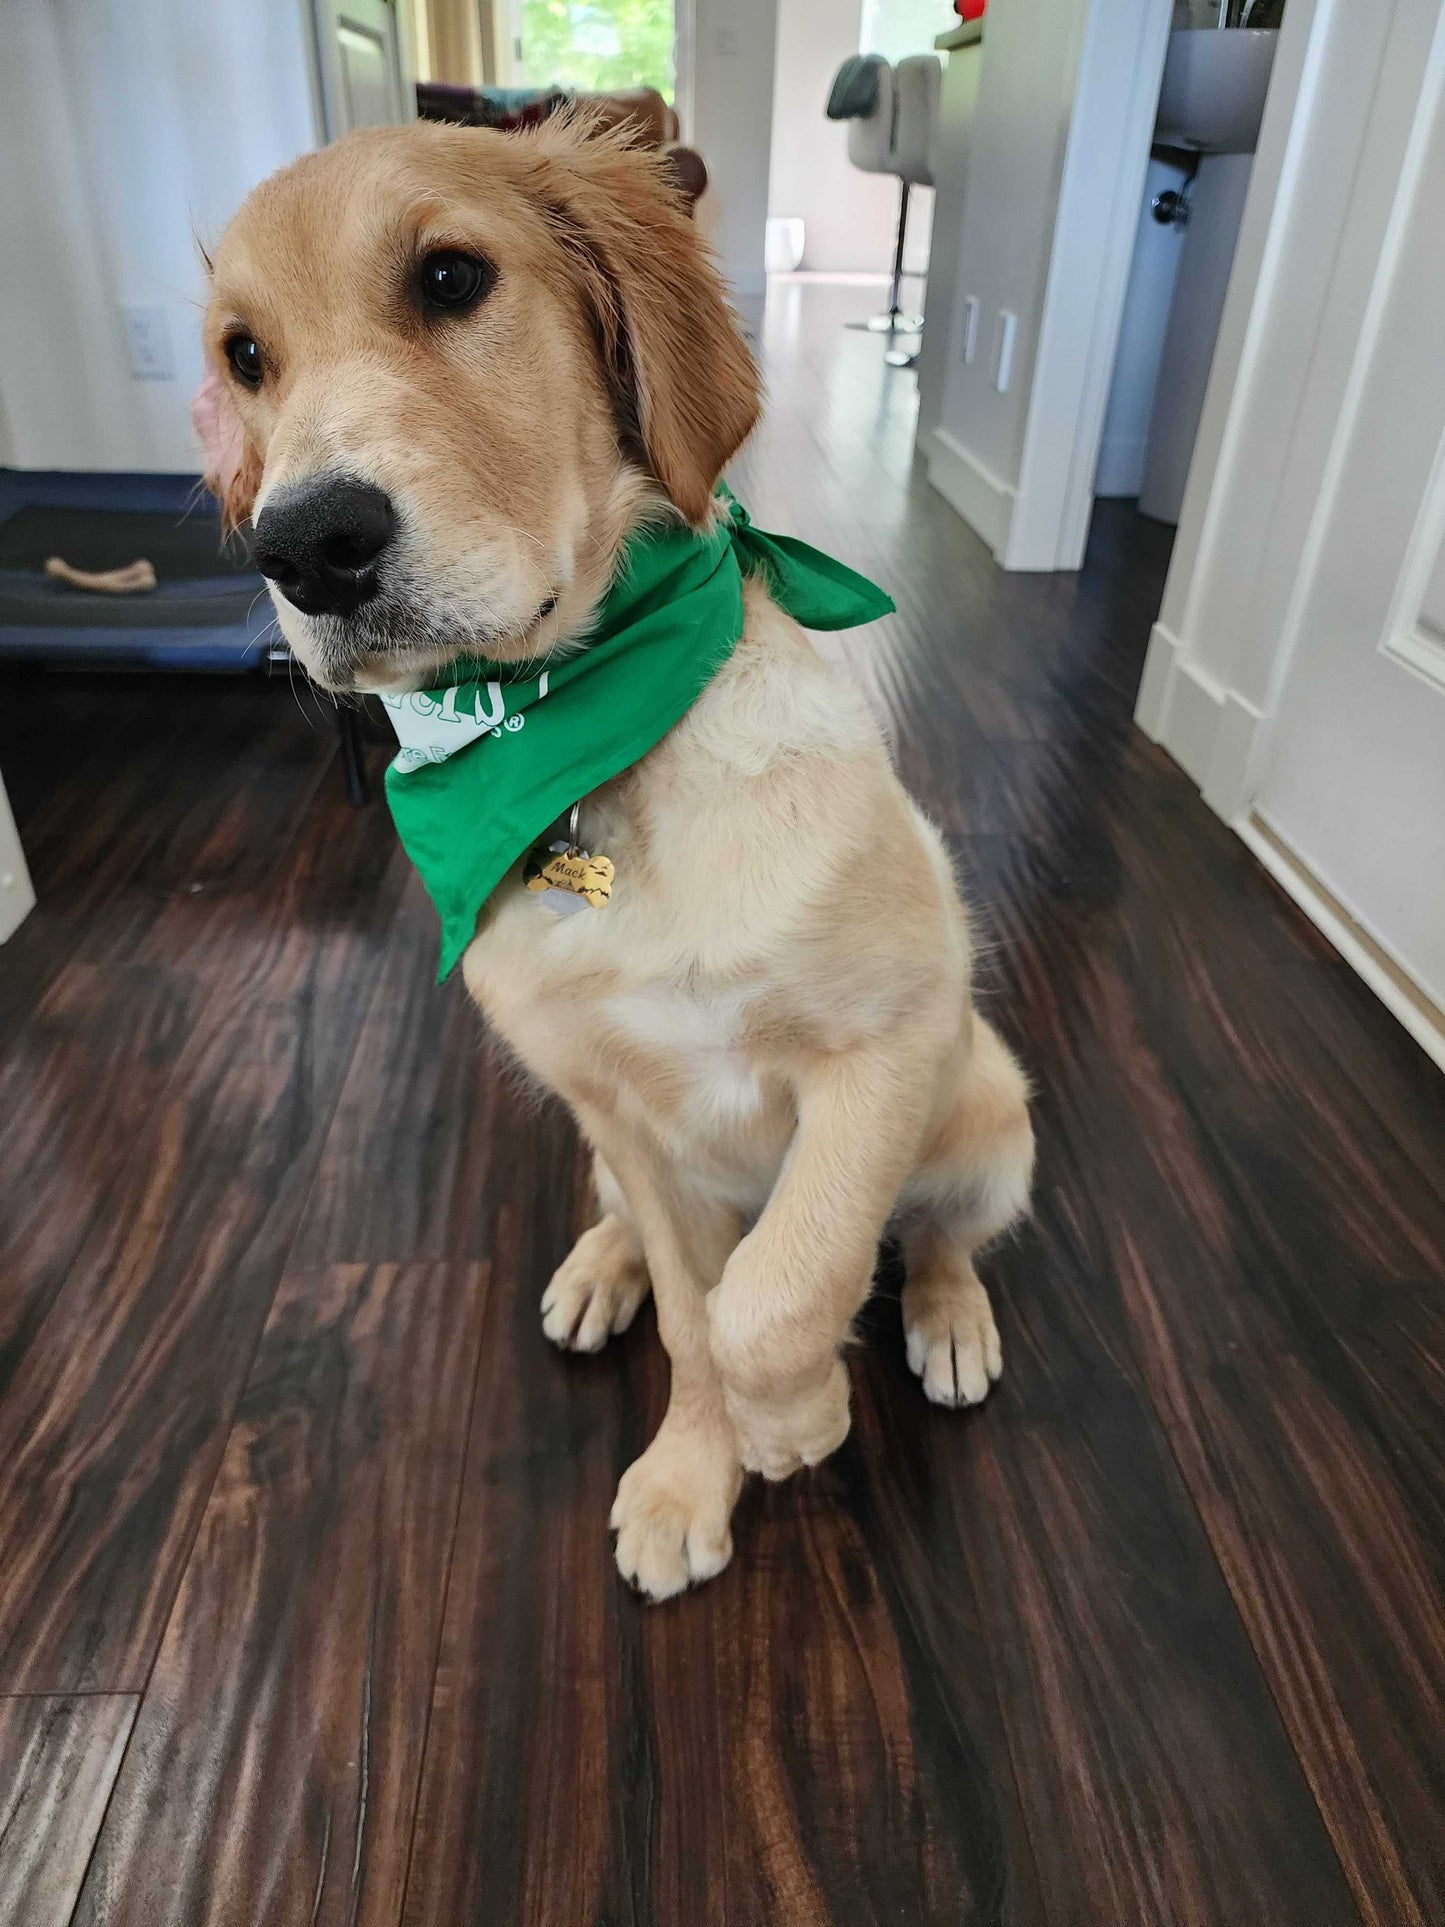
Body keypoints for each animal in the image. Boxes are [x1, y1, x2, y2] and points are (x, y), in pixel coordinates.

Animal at [204, 112, 1032, 1603]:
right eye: (245, 356)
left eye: (452, 278)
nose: (301, 546)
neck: (580, 755)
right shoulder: (629, 1119)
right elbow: (702, 1319)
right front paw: (695, 1472)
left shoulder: (885, 1047)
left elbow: (782, 1285)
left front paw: (795, 1416)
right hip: (592, 1133)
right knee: (633, 1229)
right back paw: (599, 1271)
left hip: (990, 1110)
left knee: (934, 1226)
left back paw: (945, 1316)